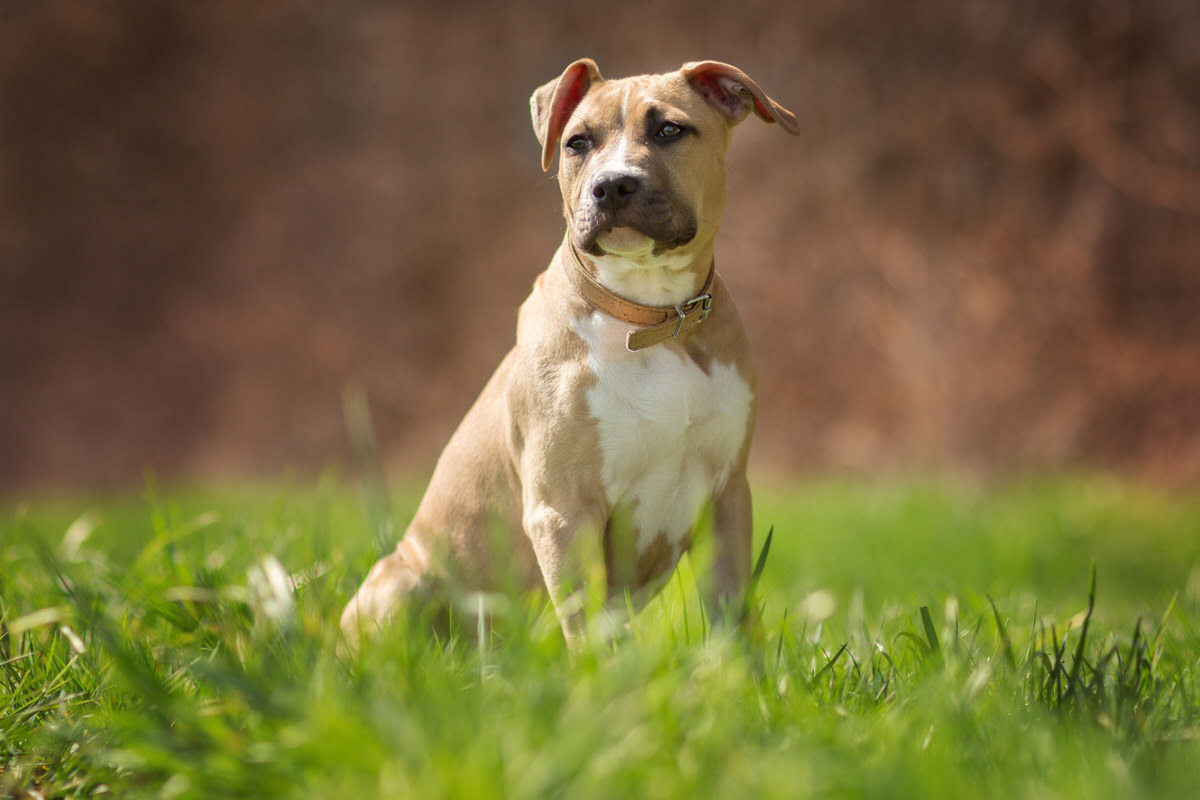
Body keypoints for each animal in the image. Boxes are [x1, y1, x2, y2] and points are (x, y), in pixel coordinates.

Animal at [340, 61, 796, 652]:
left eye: (670, 130)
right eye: (578, 142)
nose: (612, 185)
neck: (654, 318)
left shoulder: (726, 497)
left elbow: (732, 620)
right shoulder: (564, 509)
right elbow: (587, 627)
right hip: (403, 581)